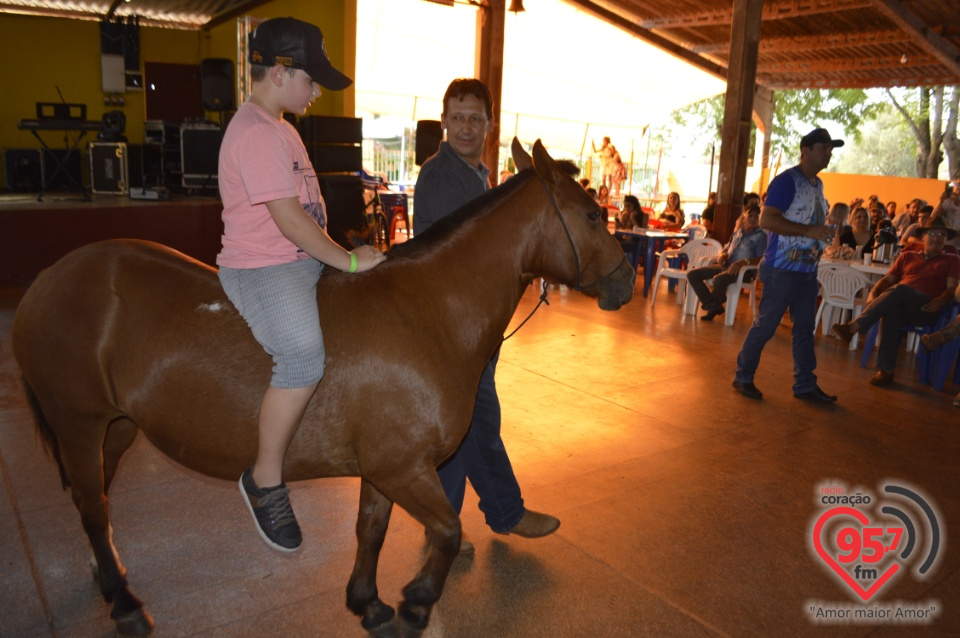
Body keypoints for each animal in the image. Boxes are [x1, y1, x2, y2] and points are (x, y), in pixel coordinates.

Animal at [13, 139, 636, 636]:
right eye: (591, 215)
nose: (628, 279)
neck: (427, 310)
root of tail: (50, 279)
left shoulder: (385, 469)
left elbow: (371, 531)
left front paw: (369, 604)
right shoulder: (405, 469)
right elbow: (447, 531)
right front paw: (415, 604)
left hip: (116, 427)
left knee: (94, 500)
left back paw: (107, 576)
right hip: (78, 425)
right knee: (93, 506)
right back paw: (123, 601)